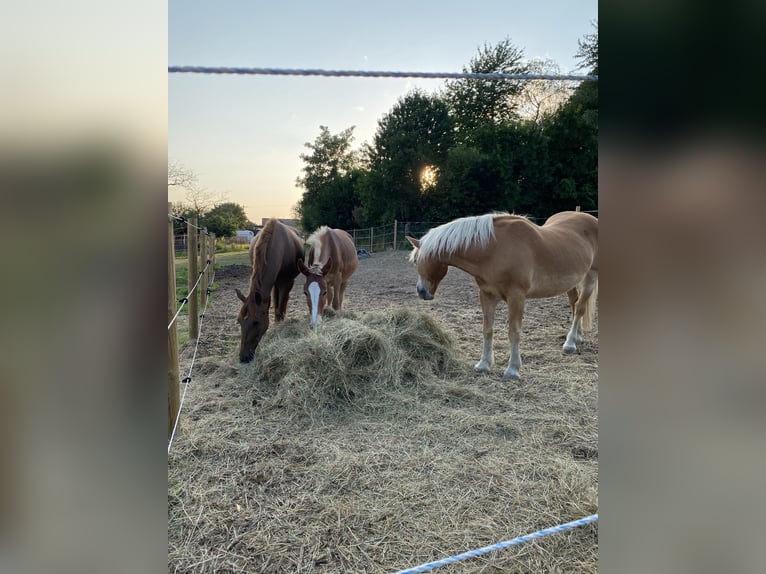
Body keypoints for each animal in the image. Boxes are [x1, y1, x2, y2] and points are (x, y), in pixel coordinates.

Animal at [234, 219, 305, 362]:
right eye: (239, 321)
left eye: (256, 322)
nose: (243, 357)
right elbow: (274, 306)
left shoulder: (286, 282)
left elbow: (279, 308)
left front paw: (279, 326)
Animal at [406, 211, 598, 380]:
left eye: (416, 261)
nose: (421, 292)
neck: (494, 250)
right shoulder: (487, 295)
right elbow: (487, 330)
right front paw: (483, 365)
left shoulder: (516, 297)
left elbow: (513, 331)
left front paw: (512, 369)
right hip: (572, 282)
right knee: (575, 304)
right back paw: (577, 337)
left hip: (590, 277)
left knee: (580, 307)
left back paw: (570, 343)